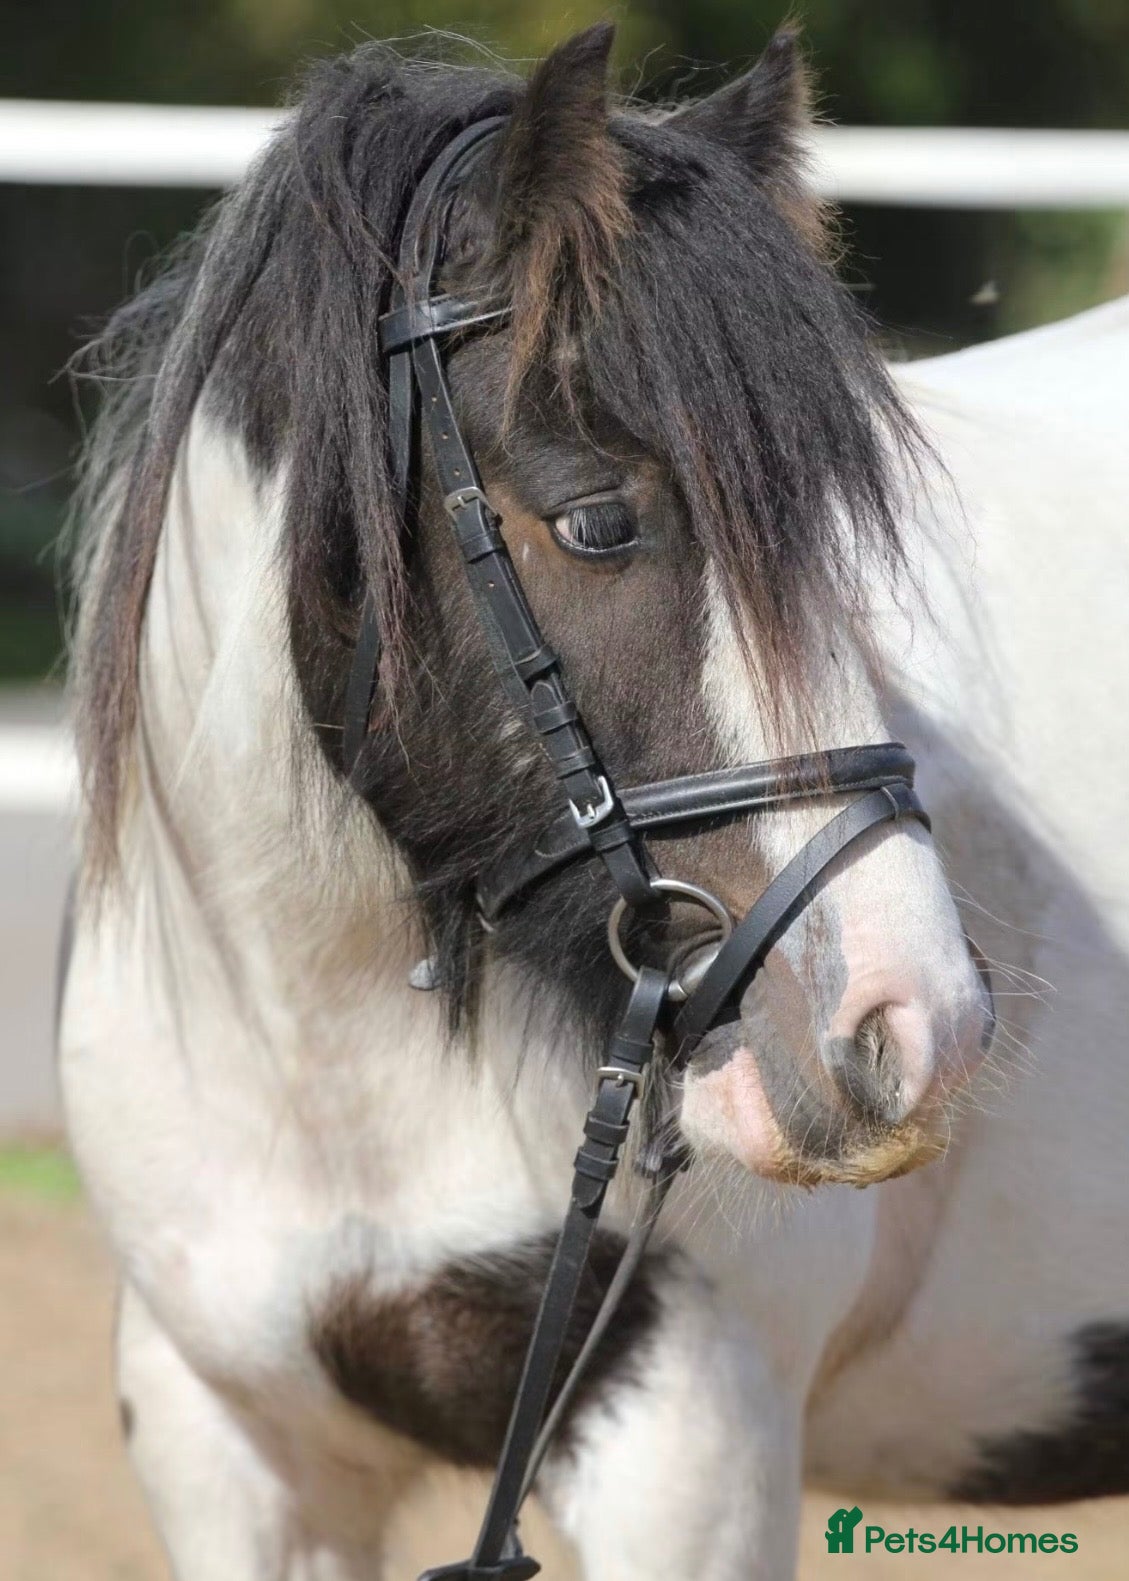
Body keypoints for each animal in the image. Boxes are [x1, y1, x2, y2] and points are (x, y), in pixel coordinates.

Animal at [58, 22, 1129, 1580]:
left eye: (836, 542)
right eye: (596, 522)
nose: (912, 1026)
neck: (326, 1062)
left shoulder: (682, 1437)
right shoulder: (229, 1447)